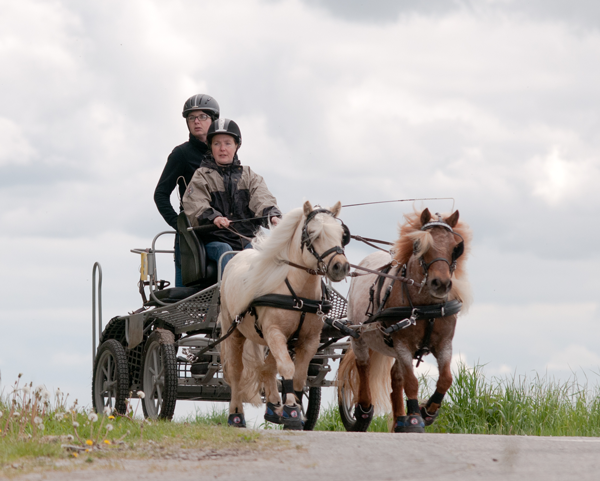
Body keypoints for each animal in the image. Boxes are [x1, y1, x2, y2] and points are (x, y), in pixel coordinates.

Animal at [219, 199, 352, 428]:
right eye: (312, 234)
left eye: (342, 234)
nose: (340, 267)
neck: (299, 294)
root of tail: (237, 256)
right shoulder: (274, 332)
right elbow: (287, 369)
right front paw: (291, 410)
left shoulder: (309, 339)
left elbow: (298, 375)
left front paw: (294, 407)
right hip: (235, 331)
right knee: (236, 372)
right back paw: (236, 415)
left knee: (268, 368)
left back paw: (273, 407)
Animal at [338, 208, 468, 434]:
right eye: (418, 245)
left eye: (455, 247)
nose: (441, 284)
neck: (425, 308)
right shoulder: (403, 344)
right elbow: (411, 382)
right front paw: (415, 418)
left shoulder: (444, 343)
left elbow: (445, 379)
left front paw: (428, 411)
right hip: (359, 335)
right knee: (363, 366)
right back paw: (364, 410)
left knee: (395, 377)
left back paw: (400, 419)